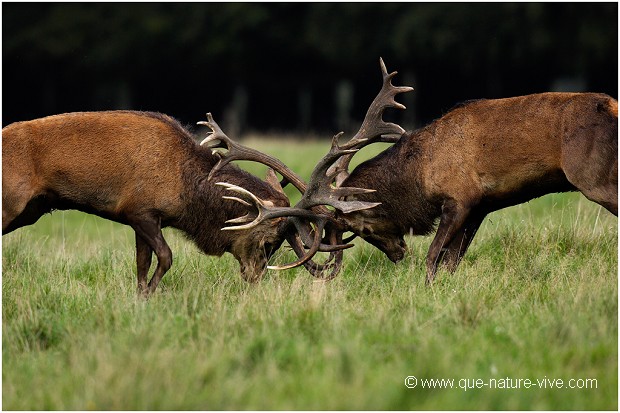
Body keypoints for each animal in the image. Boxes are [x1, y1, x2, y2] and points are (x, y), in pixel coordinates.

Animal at [3, 59, 412, 294]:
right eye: (268, 240)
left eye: (280, 244)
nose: (254, 278)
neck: (186, 192)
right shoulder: (140, 209)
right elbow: (165, 257)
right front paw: (152, 295)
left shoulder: (138, 218)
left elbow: (141, 264)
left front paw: (140, 298)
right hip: (12, 202)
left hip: (28, 211)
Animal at [326, 90, 616, 284]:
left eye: (362, 228)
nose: (397, 254)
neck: (420, 175)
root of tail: (612, 107)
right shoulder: (480, 207)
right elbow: (451, 261)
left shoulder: (460, 198)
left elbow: (433, 256)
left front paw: (427, 291)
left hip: (594, 178)